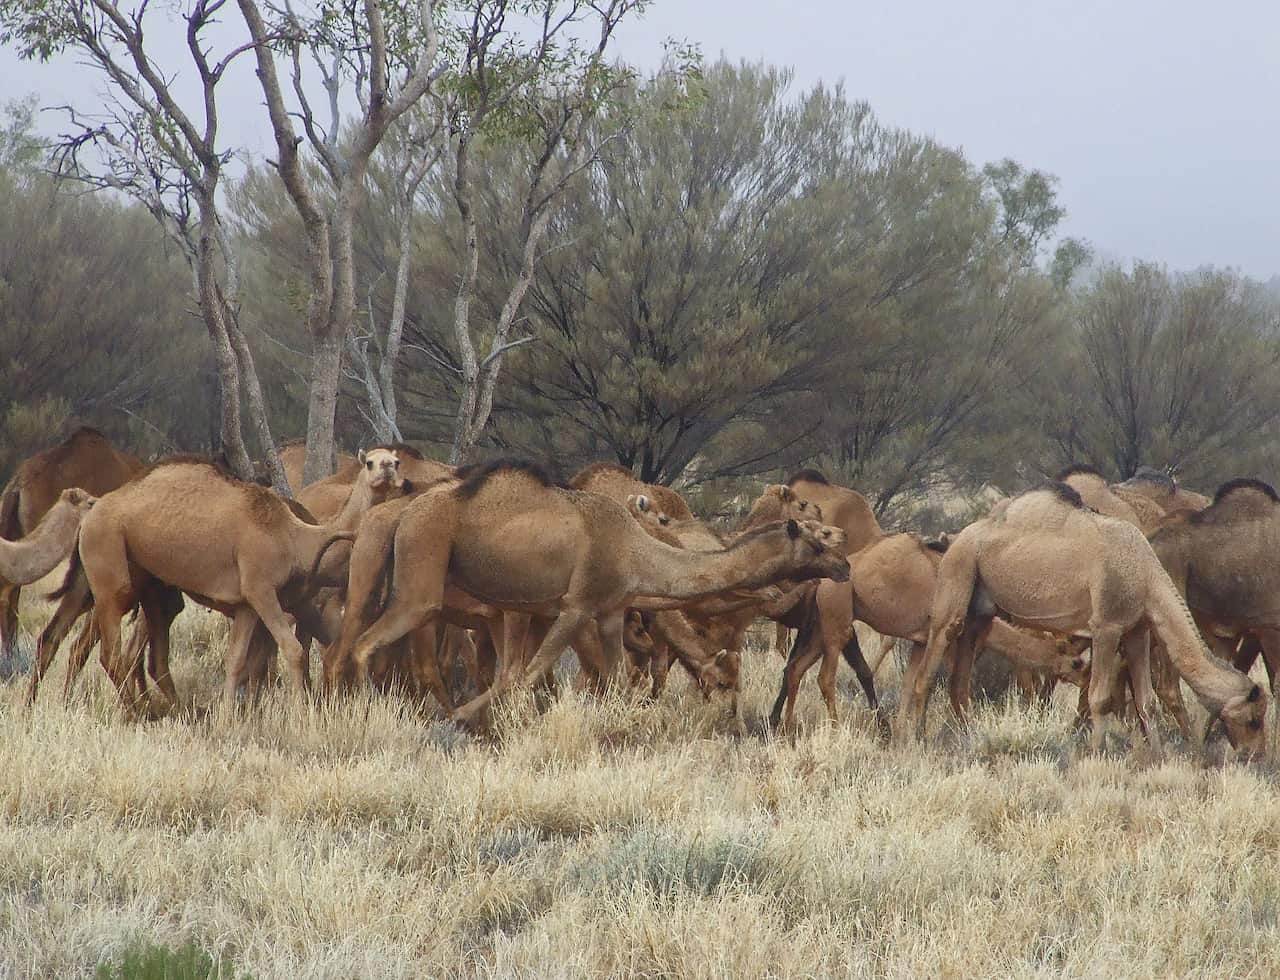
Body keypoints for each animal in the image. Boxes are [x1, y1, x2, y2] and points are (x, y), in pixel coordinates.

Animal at [73, 452, 394, 709]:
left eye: (394, 460)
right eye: (369, 462)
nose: (388, 468)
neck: (296, 539)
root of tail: (93, 509)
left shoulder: (247, 604)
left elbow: (237, 660)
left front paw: (229, 718)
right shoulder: (261, 590)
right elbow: (293, 650)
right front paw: (303, 715)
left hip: (145, 578)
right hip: (107, 547)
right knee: (111, 650)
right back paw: (136, 712)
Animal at [342, 460, 850, 728]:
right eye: (816, 540)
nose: (843, 565)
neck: (635, 550)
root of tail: (401, 515)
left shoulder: (609, 612)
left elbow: (614, 682)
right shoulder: (575, 607)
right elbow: (529, 676)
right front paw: (480, 722)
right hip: (422, 567)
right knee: (365, 644)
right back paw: (368, 710)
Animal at [896, 484, 1267, 757]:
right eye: (1254, 719)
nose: (1257, 755)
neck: (1146, 576)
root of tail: (955, 537)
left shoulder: (1137, 630)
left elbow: (1146, 700)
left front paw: (1158, 756)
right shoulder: (1106, 627)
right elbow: (1100, 697)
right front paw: (1096, 752)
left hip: (982, 611)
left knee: (960, 680)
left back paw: (968, 736)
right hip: (958, 573)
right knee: (931, 663)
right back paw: (917, 740)